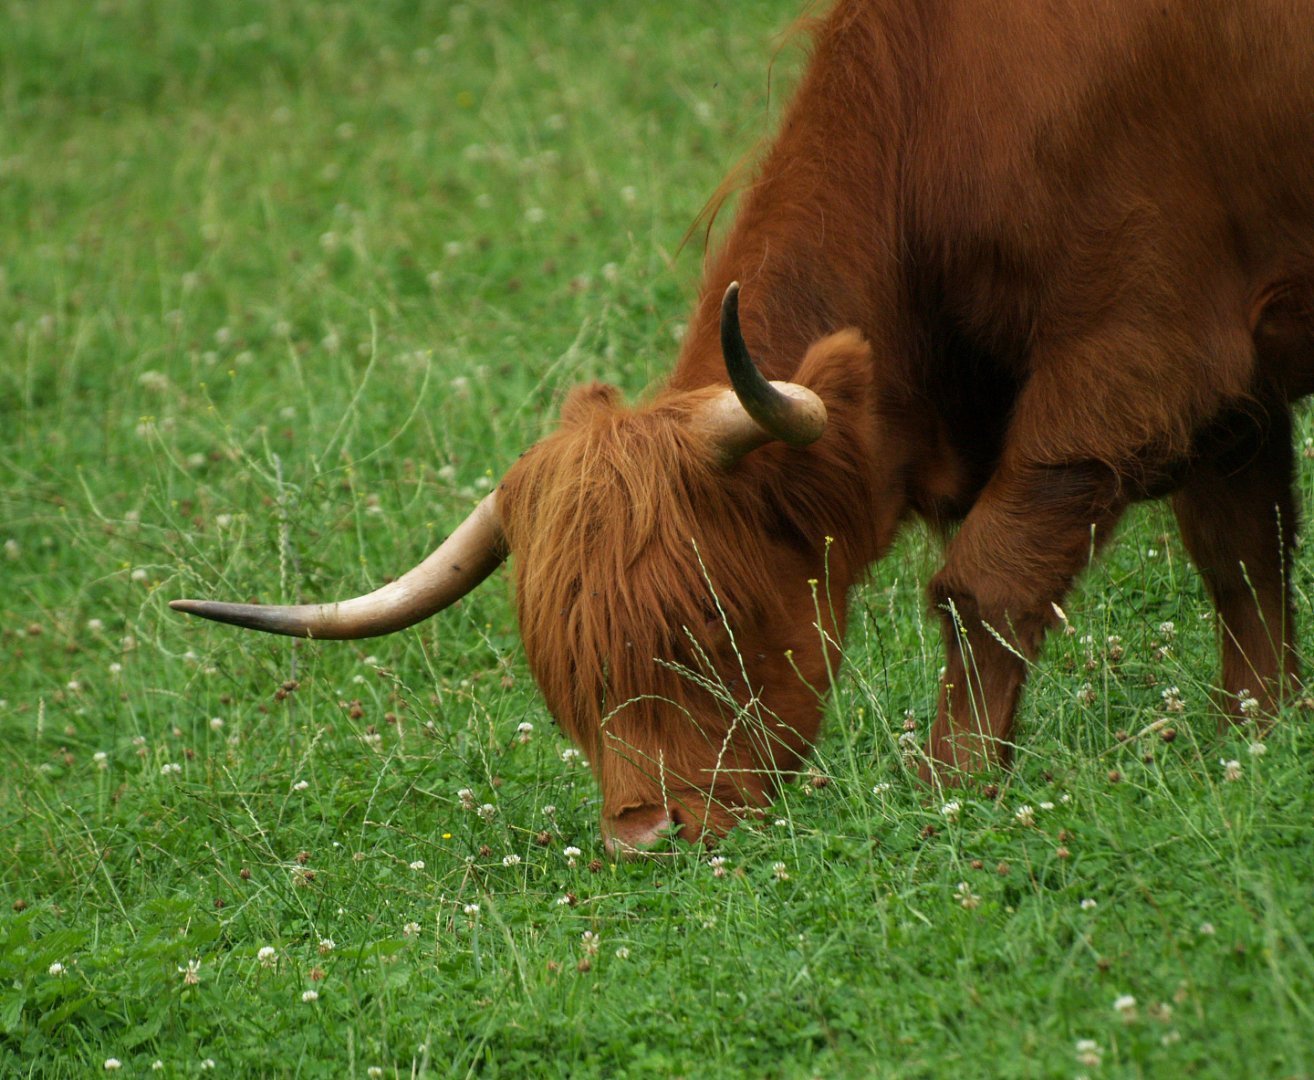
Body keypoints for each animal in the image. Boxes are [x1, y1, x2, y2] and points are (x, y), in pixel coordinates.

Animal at [172, 0, 1314, 856]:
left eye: (708, 624)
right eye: (567, 678)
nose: (646, 837)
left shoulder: (1137, 358)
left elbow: (988, 581)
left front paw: (951, 784)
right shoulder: (1236, 397)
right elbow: (1245, 560)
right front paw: (1260, 731)